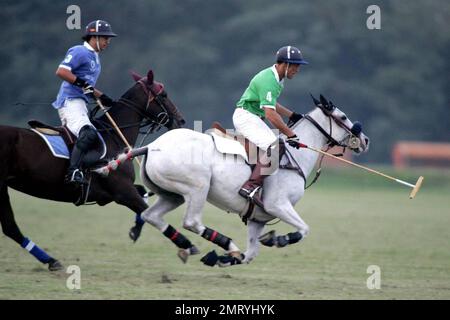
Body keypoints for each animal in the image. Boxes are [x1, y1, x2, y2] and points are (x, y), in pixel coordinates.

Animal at [0, 69, 185, 272]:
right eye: (163, 95)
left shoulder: (112, 193)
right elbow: (145, 206)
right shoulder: (122, 192)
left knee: (10, 228)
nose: (180, 121)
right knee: (11, 227)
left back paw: (51, 261)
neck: (114, 136)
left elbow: (143, 194)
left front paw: (135, 231)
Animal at [96, 94, 368, 266]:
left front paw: (222, 259)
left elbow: (251, 254)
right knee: (192, 222)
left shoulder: (258, 218)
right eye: (343, 117)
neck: (297, 157)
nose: (365, 140)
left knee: (151, 215)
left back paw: (195, 247)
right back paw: (228, 244)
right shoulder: (278, 205)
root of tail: (151, 146)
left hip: (171, 193)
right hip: (198, 187)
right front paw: (278, 239)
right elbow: (303, 229)